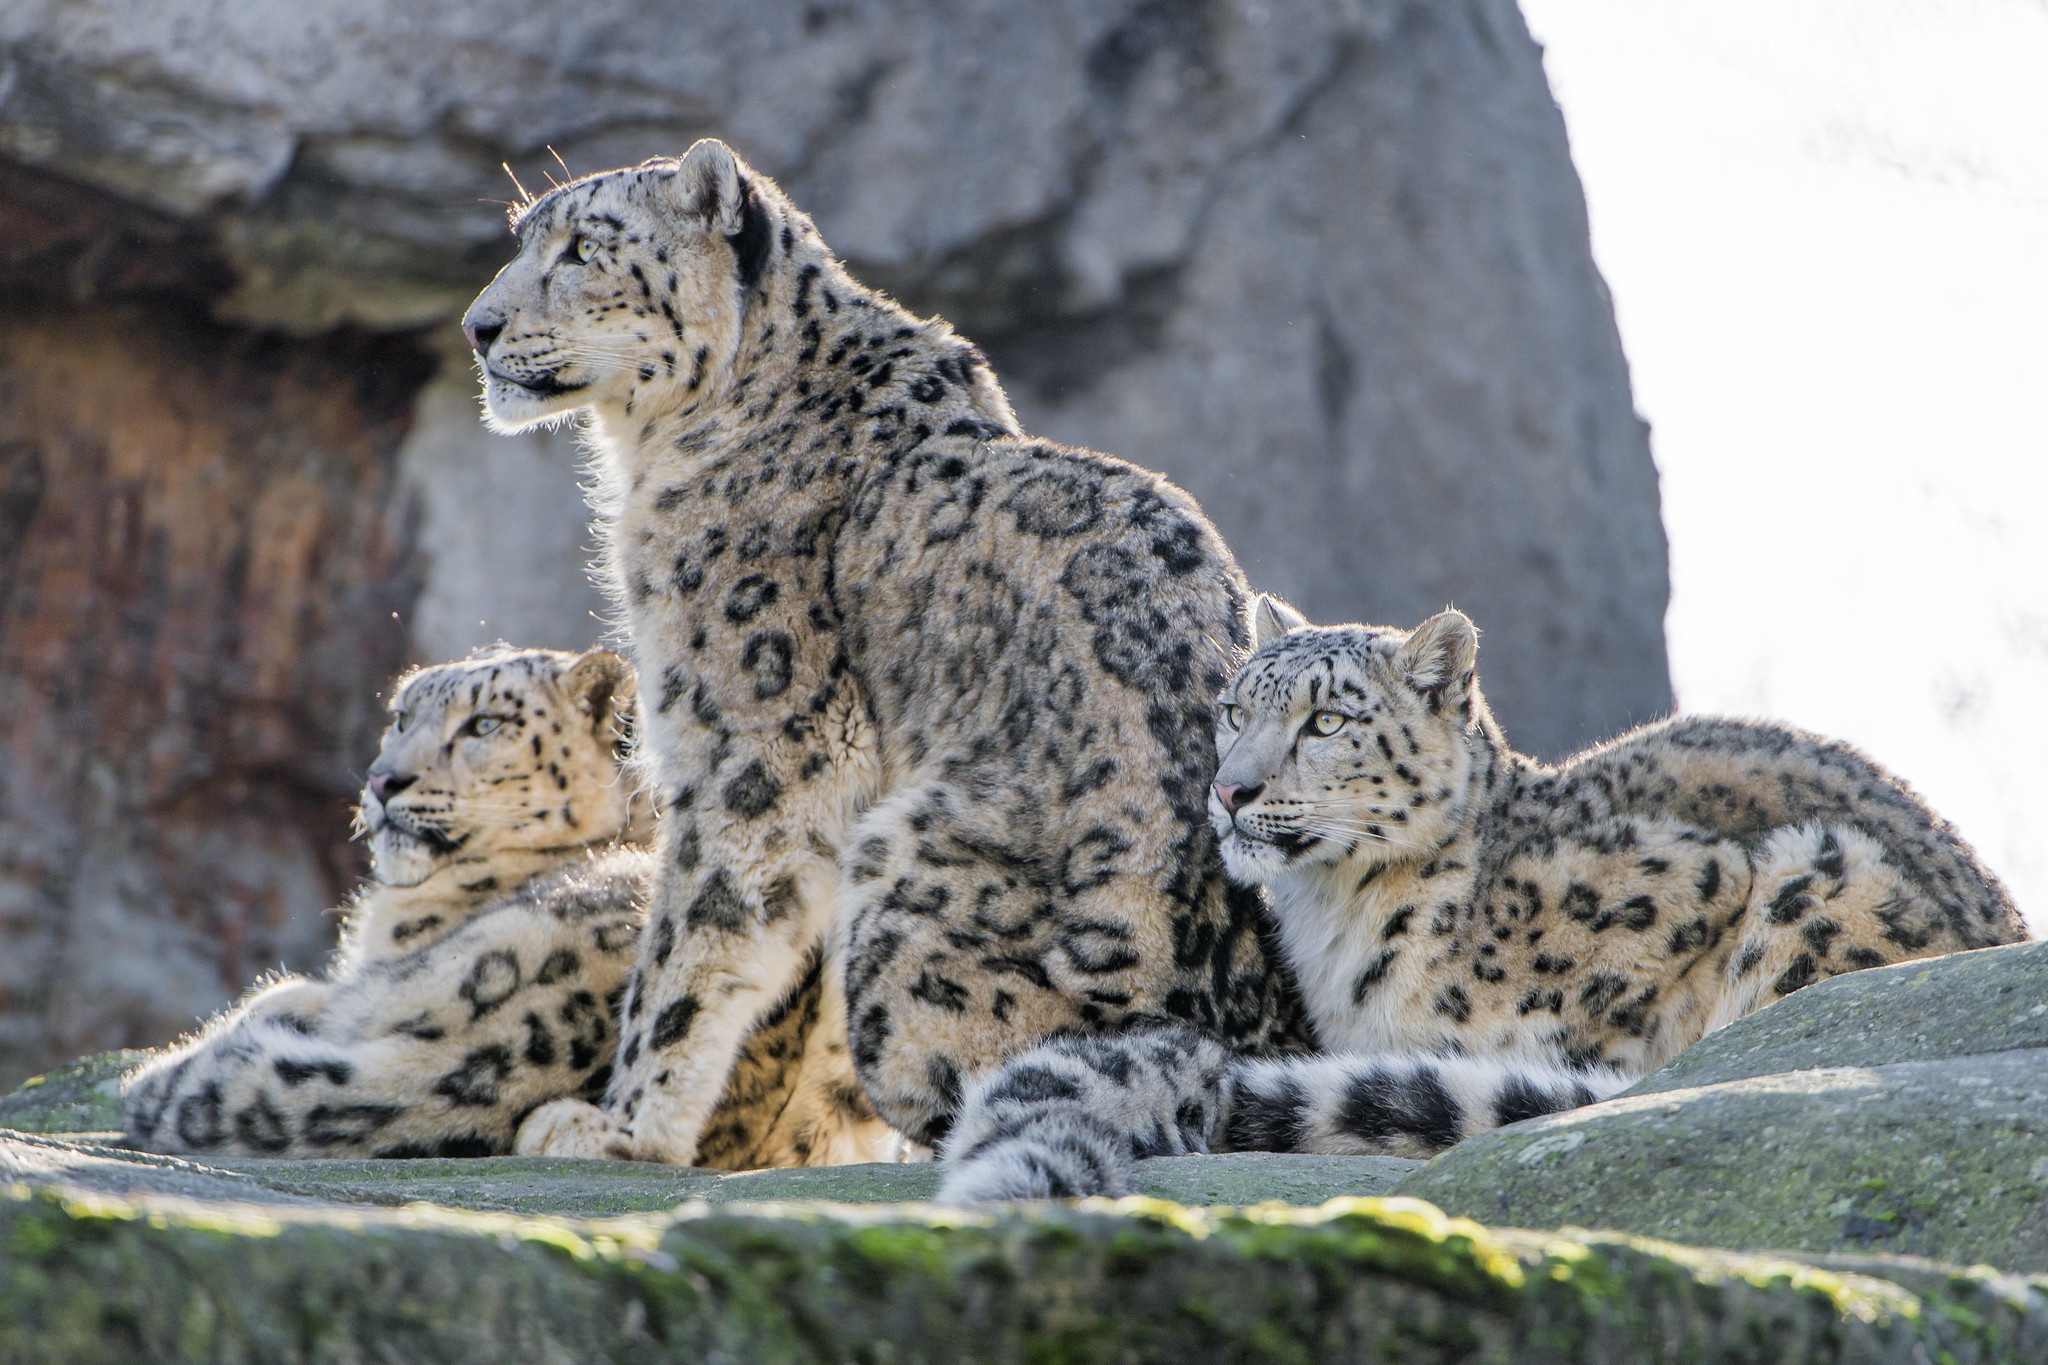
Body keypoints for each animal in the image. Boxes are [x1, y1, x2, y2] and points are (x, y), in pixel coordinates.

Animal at [457, 137, 1311, 1167]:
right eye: (524, 239)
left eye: (584, 248)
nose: (477, 326)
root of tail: (1244, 1033)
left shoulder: (753, 736)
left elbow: (695, 930)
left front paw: (620, 1124)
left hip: (909, 860)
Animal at [936, 597, 2029, 1199]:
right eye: (1233, 708)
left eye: (1326, 719)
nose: (1230, 790)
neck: (1335, 918)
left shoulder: (1687, 886)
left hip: (1826, 874)